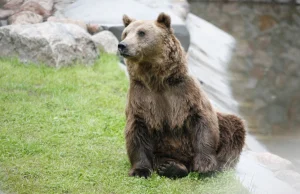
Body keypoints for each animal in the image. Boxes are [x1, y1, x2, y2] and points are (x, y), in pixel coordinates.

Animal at [119, 12, 246, 179]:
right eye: (126, 33)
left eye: (141, 32)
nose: (122, 45)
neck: (157, 80)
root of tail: (186, 161)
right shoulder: (142, 97)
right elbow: (137, 130)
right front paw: (140, 171)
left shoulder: (185, 93)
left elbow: (203, 121)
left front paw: (205, 165)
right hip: (162, 149)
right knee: (162, 158)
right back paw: (170, 166)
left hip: (223, 127)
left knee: (233, 127)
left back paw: (218, 166)